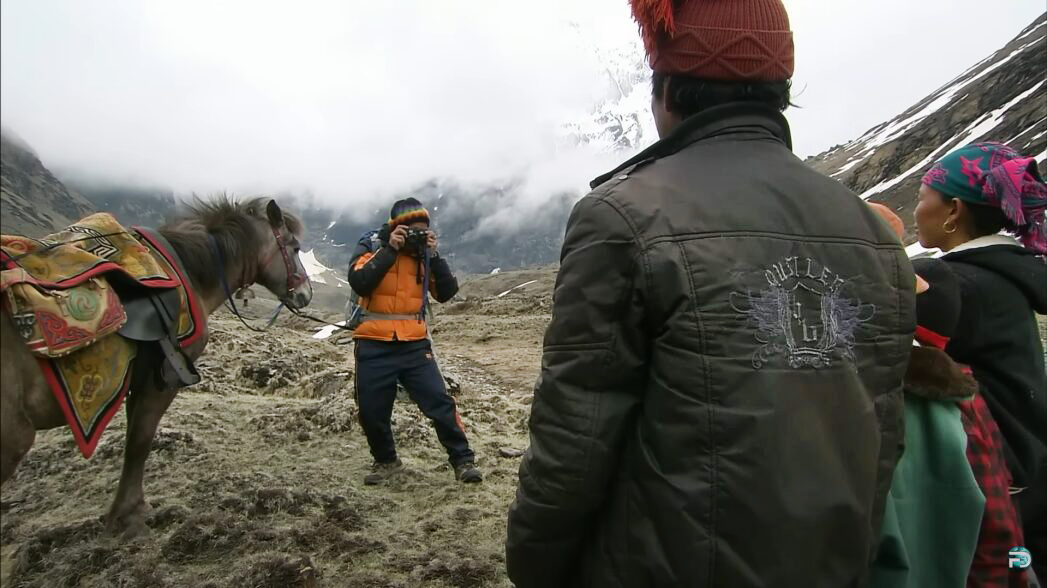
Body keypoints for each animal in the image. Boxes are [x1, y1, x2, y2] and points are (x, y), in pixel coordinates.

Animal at [1, 195, 309, 535]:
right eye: (295, 248)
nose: (306, 294)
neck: (190, 271)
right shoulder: (163, 380)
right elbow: (141, 440)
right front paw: (129, 514)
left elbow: (133, 438)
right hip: (14, 437)